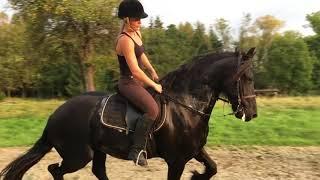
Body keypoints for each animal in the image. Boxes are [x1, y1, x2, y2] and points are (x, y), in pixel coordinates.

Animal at [0, 47, 258, 179]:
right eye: (246, 77)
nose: (252, 114)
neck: (185, 105)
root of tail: (54, 116)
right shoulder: (176, 160)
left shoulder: (194, 151)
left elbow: (213, 168)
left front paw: (197, 174)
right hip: (78, 155)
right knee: (55, 170)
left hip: (97, 151)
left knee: (97, 171)